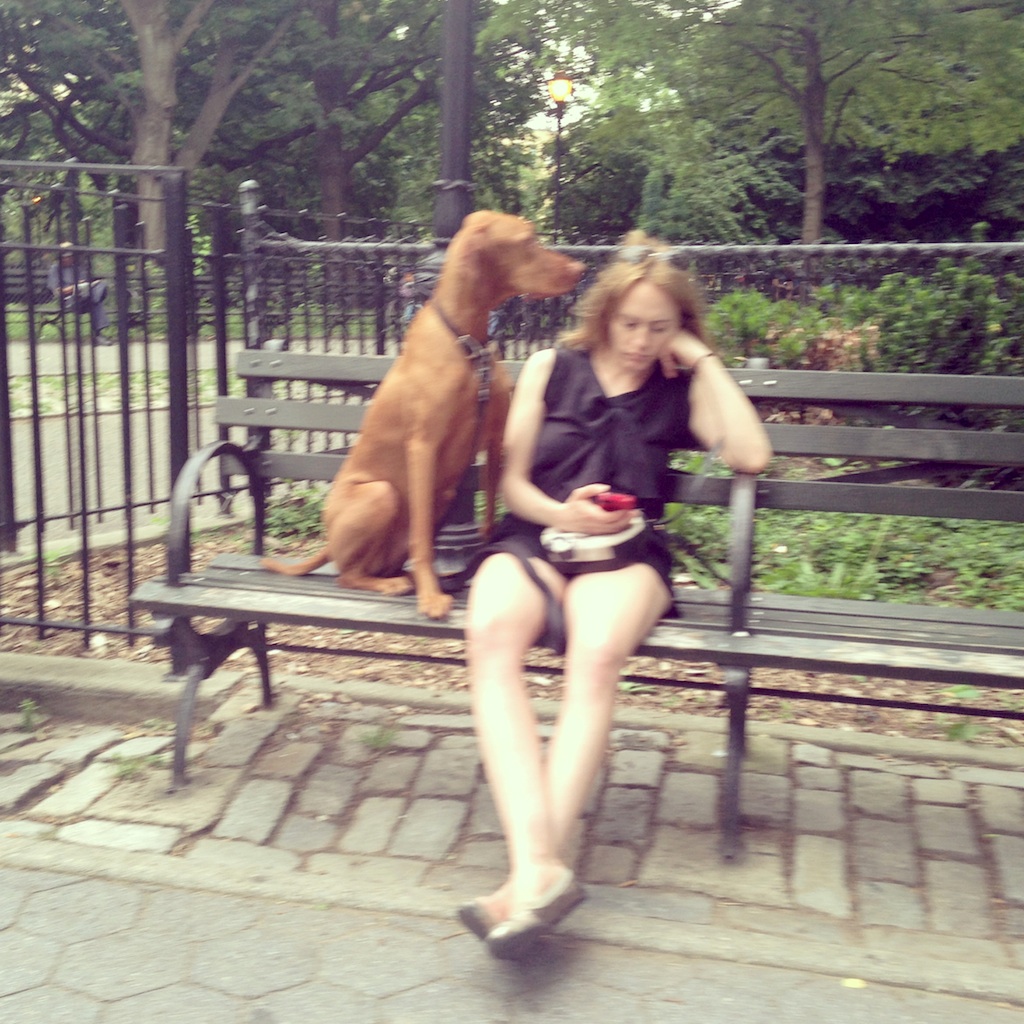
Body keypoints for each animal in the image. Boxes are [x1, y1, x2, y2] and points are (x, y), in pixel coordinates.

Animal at [261, 211, 586, 619]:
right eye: (527, 240)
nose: (581, 269)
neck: (467, 341)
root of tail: (331, 544)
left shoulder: (495, 440)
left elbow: (488, 516)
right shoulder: (423, 446)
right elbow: (422, 539)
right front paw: (431, 597)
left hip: (439, 496)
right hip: (381, 494)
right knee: (348, 575)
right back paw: (396, 583)